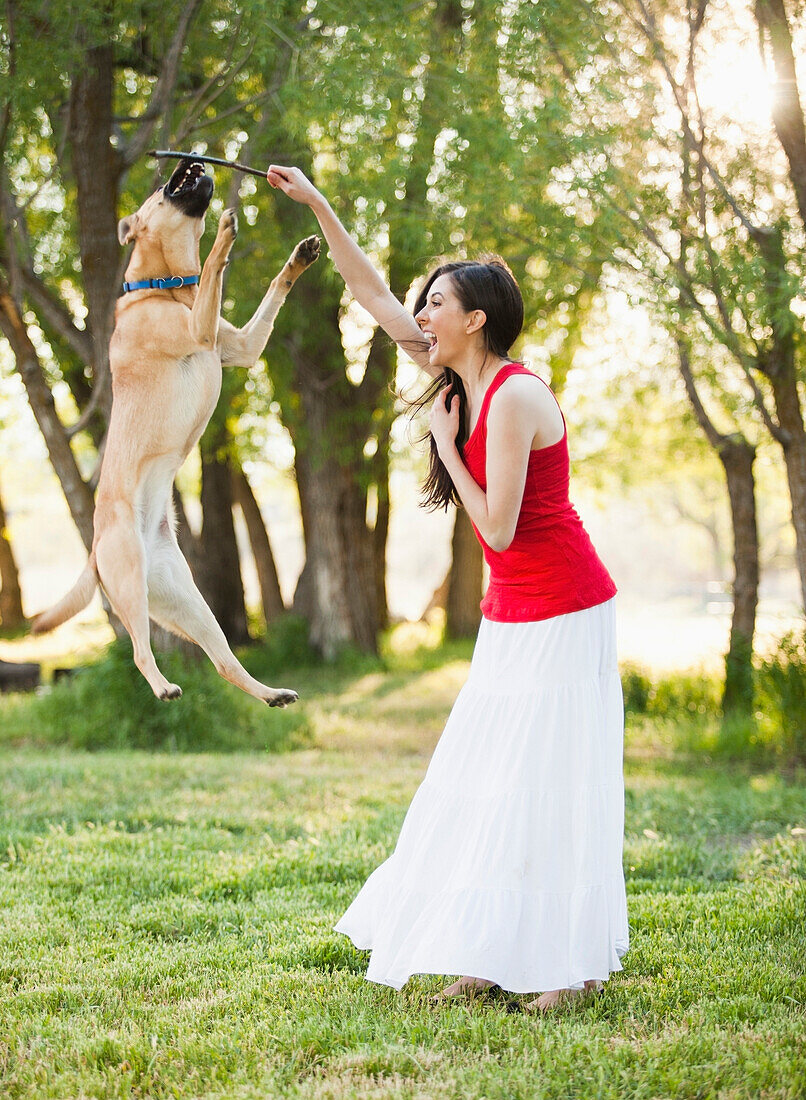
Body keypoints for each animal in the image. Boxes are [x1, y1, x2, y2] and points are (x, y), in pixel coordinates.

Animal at [34, 155, 318, 704]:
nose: (192, 162)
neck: (167, 289)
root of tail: (95, 548)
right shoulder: (198, 329)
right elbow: (212, 271)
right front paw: (224, 235)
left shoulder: (240, 346)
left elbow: (267, 295)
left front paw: (298, 259)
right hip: (129, 576)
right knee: (140, 651)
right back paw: (163, 686)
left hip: (190, 603)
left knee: (225, 662)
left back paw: (270, 693)